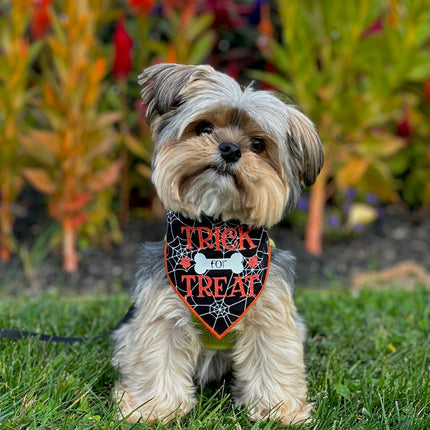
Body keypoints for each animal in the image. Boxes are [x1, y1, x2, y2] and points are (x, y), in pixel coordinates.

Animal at [111, 63, 322, 426]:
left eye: (258, 144)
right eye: (204, 127)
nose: (230, 149)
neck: (217, 238)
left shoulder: (270, 315)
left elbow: (273, 360)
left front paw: (278, 410)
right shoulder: (161, 313)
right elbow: (156, 358)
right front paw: (153, 408)